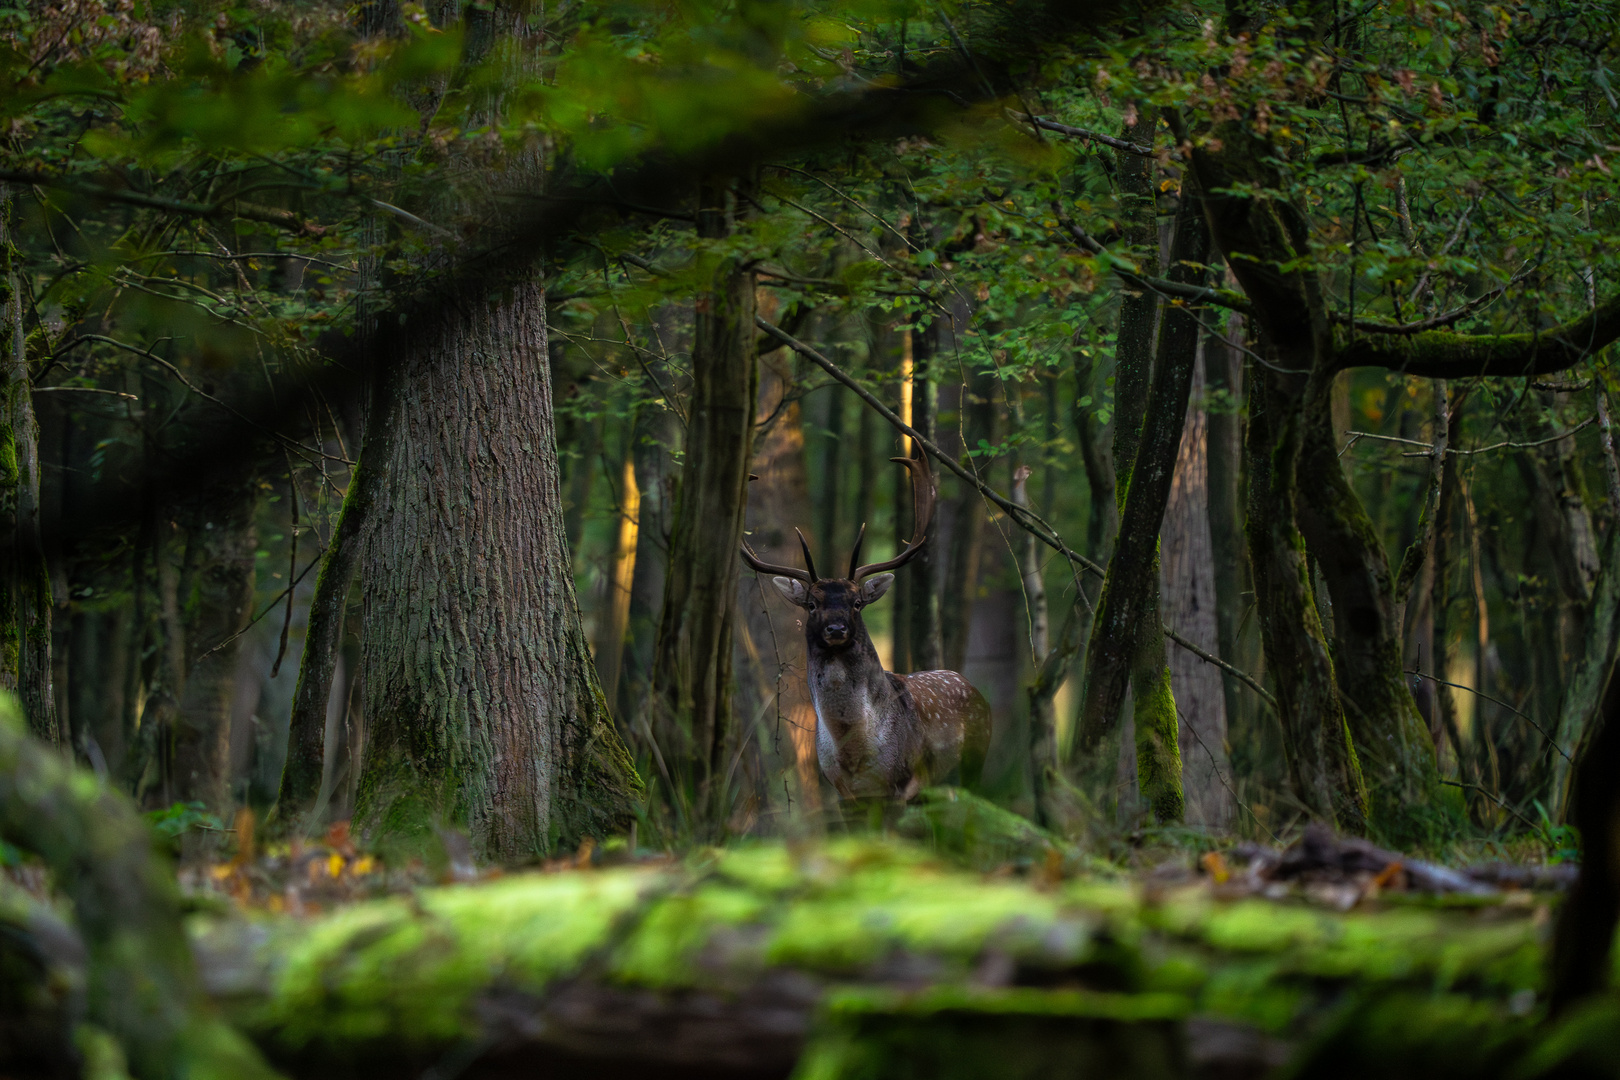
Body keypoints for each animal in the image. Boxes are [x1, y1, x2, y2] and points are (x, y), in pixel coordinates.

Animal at [741, 443, 991, 799]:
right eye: (811, 605)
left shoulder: (900, 784)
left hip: (974, 759)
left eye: (857, 603)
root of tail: (972, 687)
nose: (836, 628)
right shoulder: (842, 790)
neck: (854, 755)